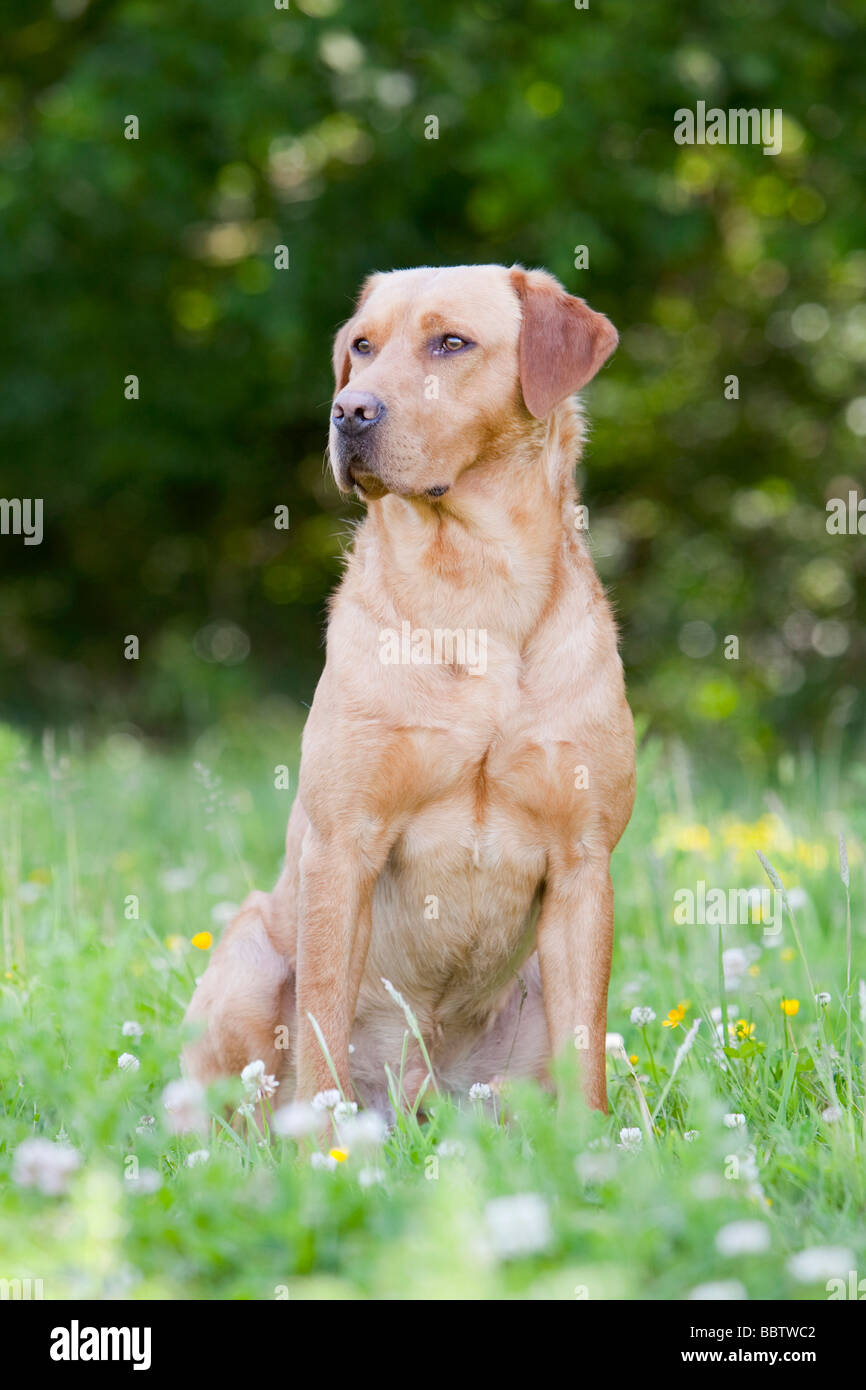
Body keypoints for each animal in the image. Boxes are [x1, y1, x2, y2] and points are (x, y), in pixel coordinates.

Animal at [183, 262, 633, 1117]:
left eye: (450, 342)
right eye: (361, 346)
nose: (348, 411)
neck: (475, 584)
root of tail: (416, 1094)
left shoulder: (583, 862)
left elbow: (586, 1054)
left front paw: (597, 1147)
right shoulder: (343, 844)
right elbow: (321, 1030)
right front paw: (323, 1143)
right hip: (249, 954)